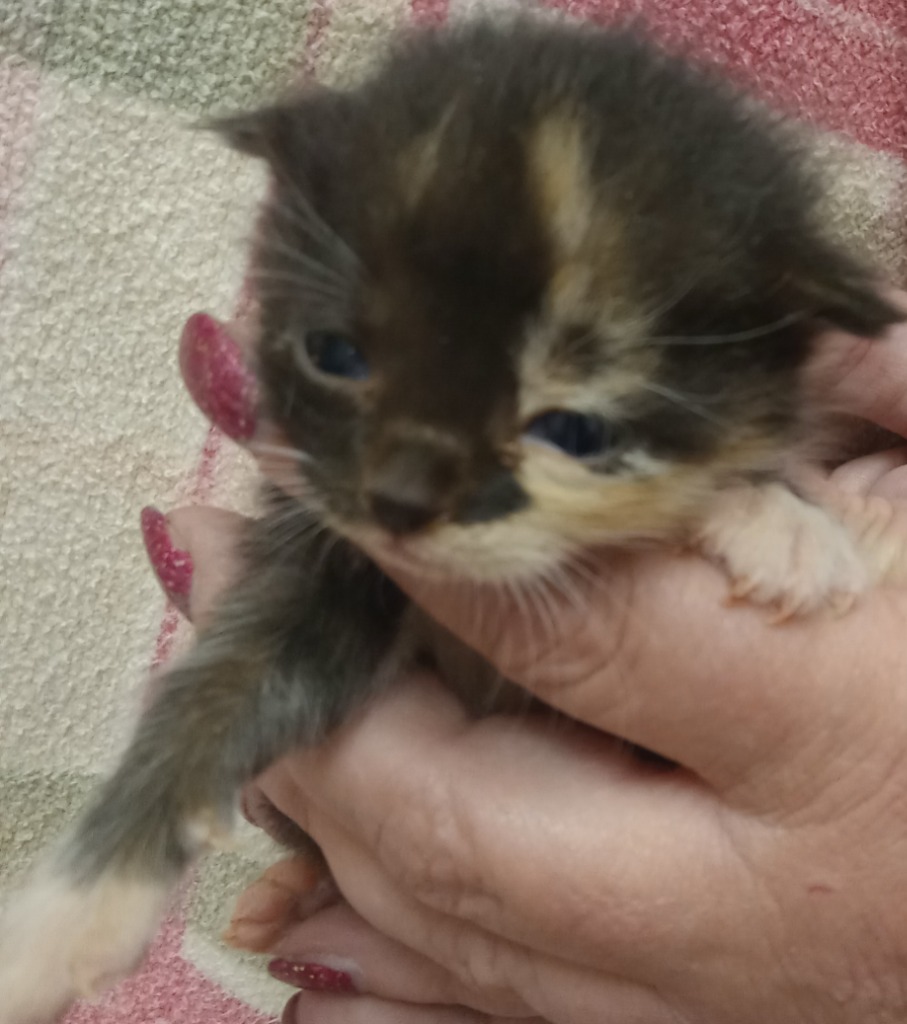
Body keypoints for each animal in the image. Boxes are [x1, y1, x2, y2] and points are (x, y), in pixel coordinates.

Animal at [0, 12, 904, 1019]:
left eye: (575, 431)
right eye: (334, 353)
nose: (398, 500)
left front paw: (780, 518)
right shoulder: (321, 550)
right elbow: (216, 692)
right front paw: (62, 922)